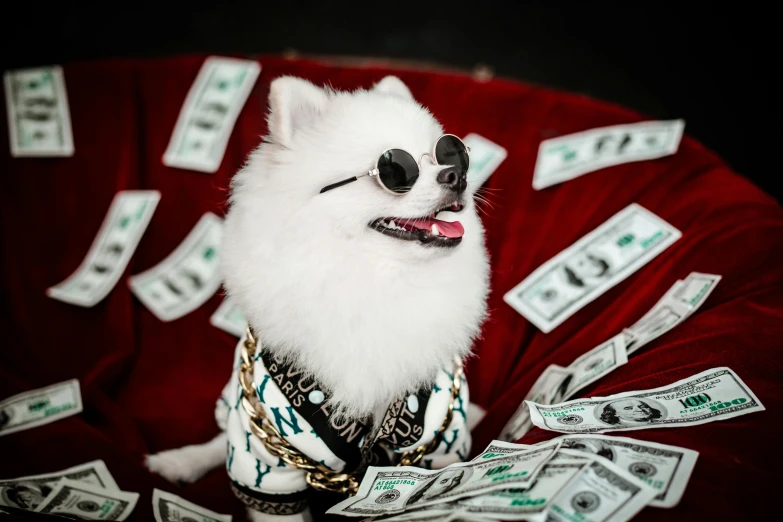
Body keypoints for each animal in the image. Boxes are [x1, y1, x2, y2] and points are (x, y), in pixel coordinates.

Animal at [148, 75, 490, 516]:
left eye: (450, 156)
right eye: (395, 170)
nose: (455, 176)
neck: (374, 282)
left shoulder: (438, 440)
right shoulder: (266, 452)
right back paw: (182, 461)